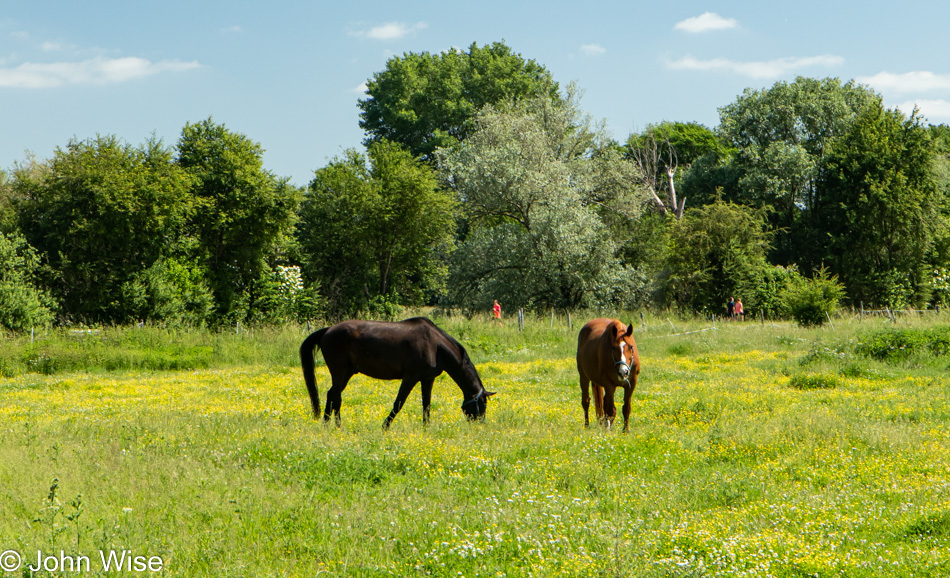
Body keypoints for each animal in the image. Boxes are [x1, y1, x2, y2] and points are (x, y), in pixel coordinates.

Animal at [300, 316, 494, 428]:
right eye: (482, 404)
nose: (480, 424)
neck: (435, 345)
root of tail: (327, 330)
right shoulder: (410, 378)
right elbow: (398, 403)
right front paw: (385, 426)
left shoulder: (427, 379)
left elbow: (426, 405)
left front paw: (426, 427)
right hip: (340, 373)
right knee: (334, 396)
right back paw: (334, 425)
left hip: (346, 373)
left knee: (333, 395)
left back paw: (331, 424)